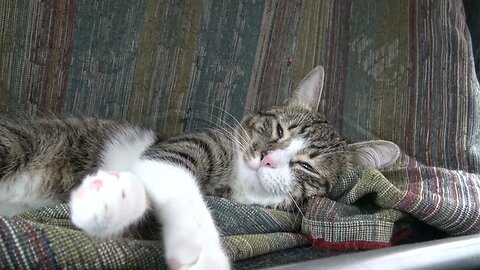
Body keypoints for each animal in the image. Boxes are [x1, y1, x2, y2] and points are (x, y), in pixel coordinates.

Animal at [0, 66, 398, 268]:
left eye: (307, 166)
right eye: (279, 130)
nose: (267, 158)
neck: (234, 182)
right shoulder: (180, 148)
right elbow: (179, 182)